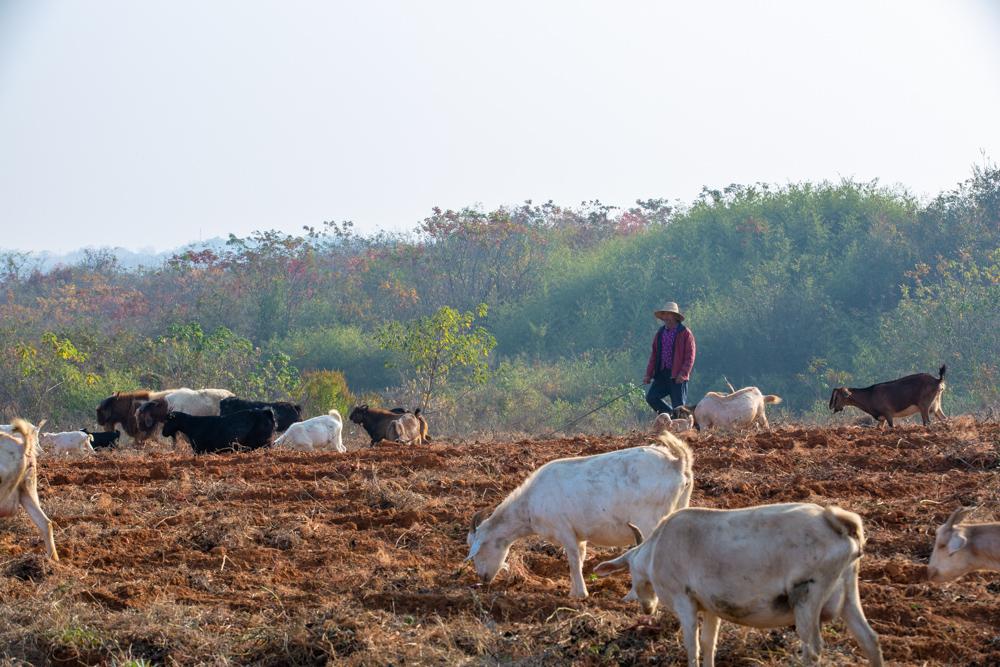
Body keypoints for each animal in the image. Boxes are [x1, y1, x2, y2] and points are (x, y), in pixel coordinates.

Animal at [464, 434, 692, 600]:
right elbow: (580, 558)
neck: (529, 503)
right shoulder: (579, 535)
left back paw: (632, 596)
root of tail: (677, 463)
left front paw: (580, 594)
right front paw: (574, 591)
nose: (483, 578)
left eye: (478, 552)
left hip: (649, 521)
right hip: (680, 506)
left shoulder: (564, 530)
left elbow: (573, 560)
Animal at [592, 504, 884, 664]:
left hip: (807, 595)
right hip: (848, 592)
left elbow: (692, 645)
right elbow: (709, 643)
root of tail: (837, 525)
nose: (647, 609)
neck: (656, 548)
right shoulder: (711, 606)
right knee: (870, 641)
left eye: (632, 573)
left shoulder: (684, 601)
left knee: (812, 650)